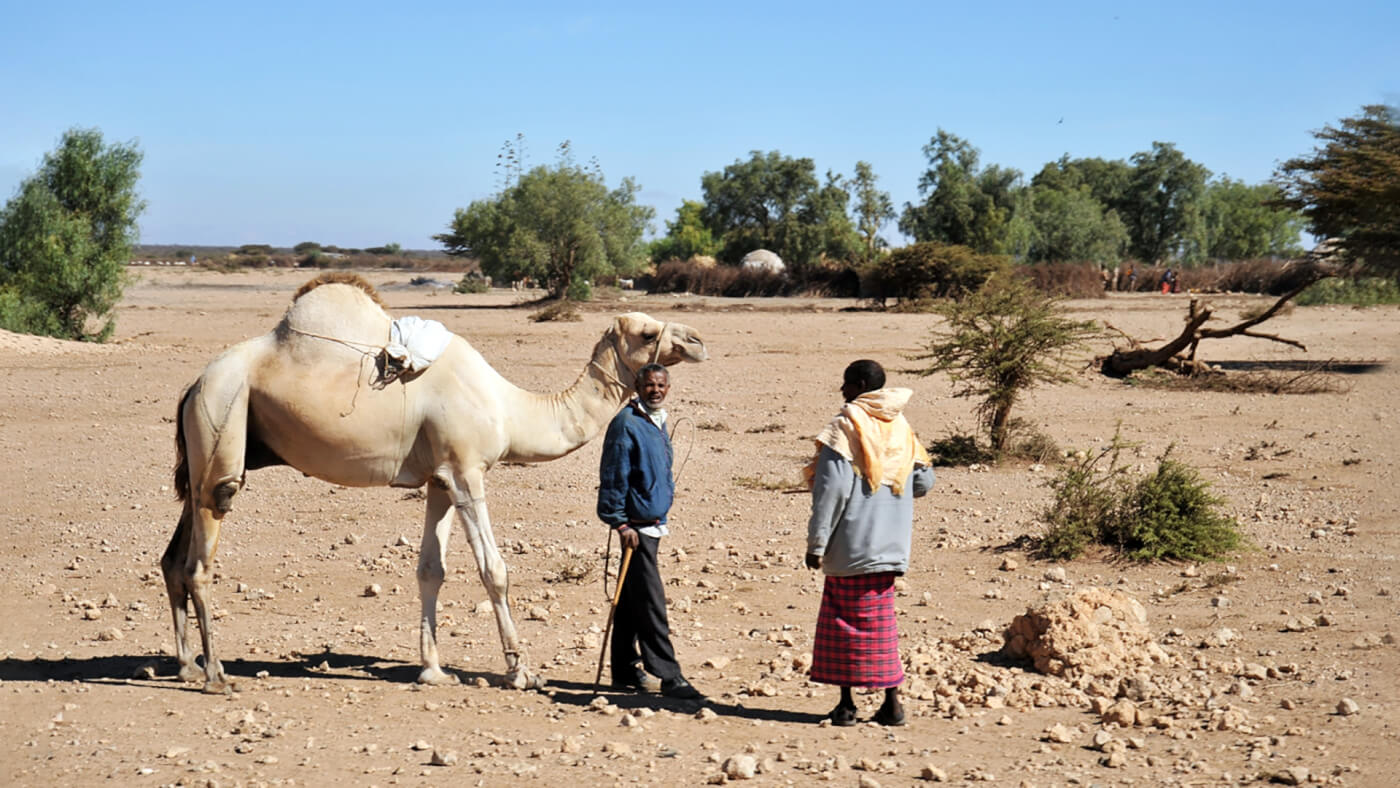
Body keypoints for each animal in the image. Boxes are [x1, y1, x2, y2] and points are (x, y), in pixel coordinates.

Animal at [161, 274, 711, 694]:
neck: (509, 409)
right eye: (646, 333)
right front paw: (522, 672)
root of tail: (192, 384)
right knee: (203, 550)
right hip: (223, 416)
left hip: (210, 449)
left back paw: (186, 664)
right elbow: (494, 570)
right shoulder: (467, 471)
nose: (698, 341)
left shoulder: (440, 480)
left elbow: (431, 570)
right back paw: (216, 675)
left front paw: (432, 670)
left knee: (174, 556)